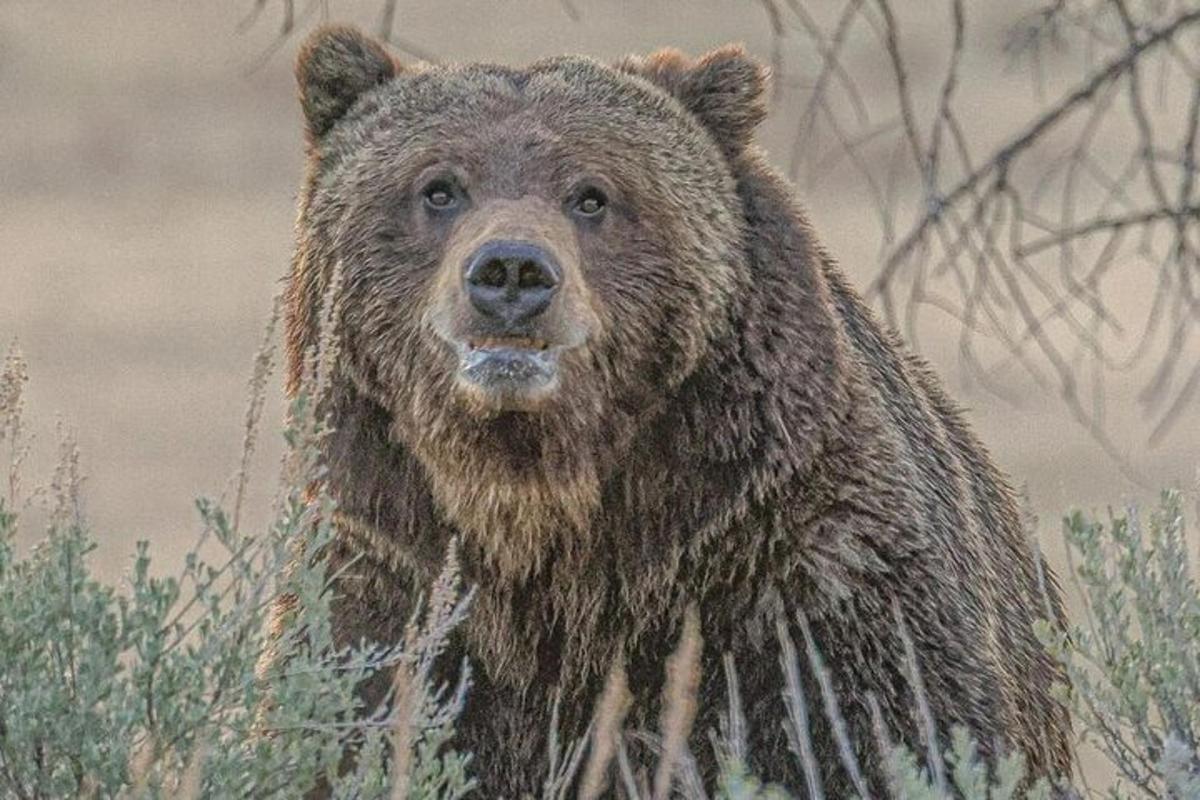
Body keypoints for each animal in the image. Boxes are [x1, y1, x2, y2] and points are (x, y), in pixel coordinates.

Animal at [283, 23, 1080, 796]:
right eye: (440, 188)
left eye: (592, 195)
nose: (511, 271)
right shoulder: (387, 589)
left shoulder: (794, 572)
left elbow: (887, 728)